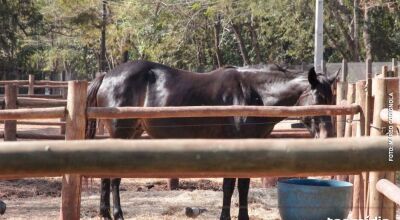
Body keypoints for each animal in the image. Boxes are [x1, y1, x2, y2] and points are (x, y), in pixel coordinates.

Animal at [86, 60, 340, 220]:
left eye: (332, 98)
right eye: (319, 97)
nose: (328, 136)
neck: (252, 95)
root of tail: (107, 76)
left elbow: (243, 186)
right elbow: (229, 186)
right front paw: (225, 217)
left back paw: (105, 213)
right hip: (122, 134)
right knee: (114, 178)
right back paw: (117, 214)